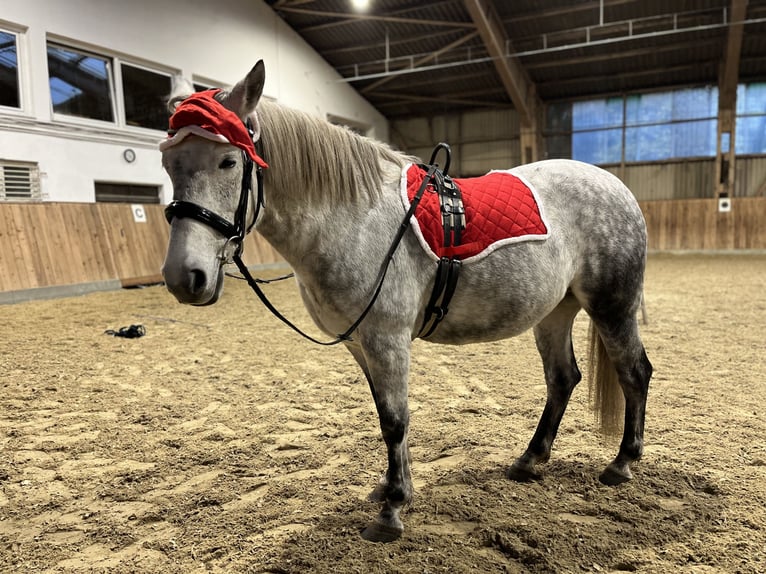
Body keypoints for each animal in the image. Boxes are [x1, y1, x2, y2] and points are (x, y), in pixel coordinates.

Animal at [160, 63, 656, 544]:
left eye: (228, 161)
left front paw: (392, 510)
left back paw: (621, 463)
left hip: (612, 306)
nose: (185, 278)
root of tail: (616, 185)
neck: (353, 216)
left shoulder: (386, 338)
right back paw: (530, 461)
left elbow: (396, 421)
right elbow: (384, 415)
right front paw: (391, 488)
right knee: (562, 379)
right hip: (555, 312)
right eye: (167, 163)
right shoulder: (359, 342)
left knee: (634, 372)